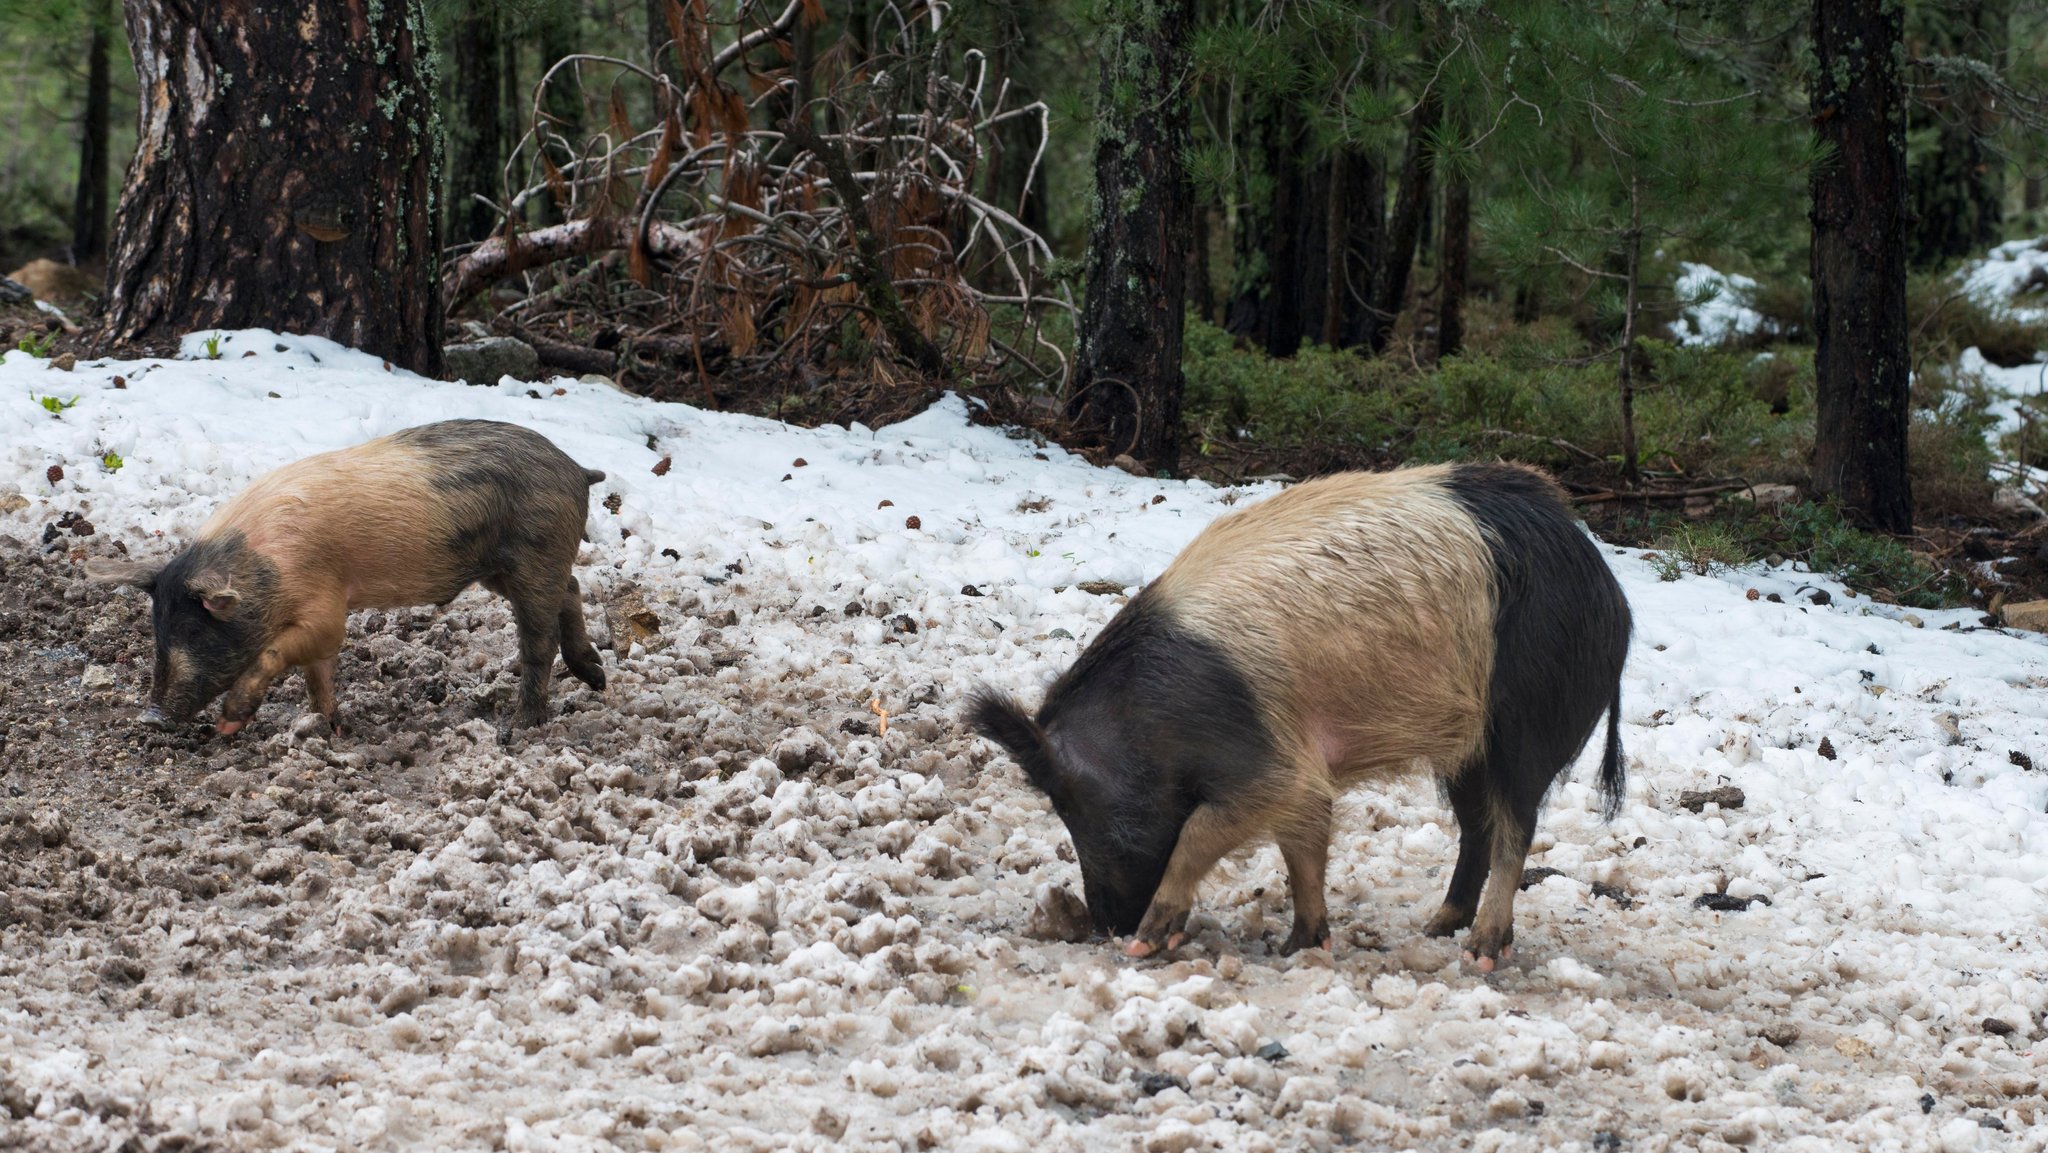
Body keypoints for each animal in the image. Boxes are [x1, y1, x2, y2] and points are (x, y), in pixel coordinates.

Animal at [96, 419, 606, 737]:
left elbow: (284, 651)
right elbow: (317, 676)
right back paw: (596, 678)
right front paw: (335, 730)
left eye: (195, 631)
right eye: (158, 631)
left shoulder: (325, 610)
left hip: (536, 552)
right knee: (572, 589)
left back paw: (519, 728)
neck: (266, 572)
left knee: (539, 640)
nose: (149, 717)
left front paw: (228, 724)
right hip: (504, 569)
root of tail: (576, 469)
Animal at [970, 464, 1630, 970]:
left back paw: (1481, 953)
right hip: (1466, 745)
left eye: (1077, 804)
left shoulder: (1271, 766)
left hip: (1528, 721)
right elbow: (1301, 851)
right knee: (1476, 827)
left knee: (1517, 826)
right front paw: (1300, 946)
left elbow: (1201, 833)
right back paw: (1435, 928)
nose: (1108, 925)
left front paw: (1148, 945)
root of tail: (1612, 594)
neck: (1150, 721)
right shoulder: (1303, 777)